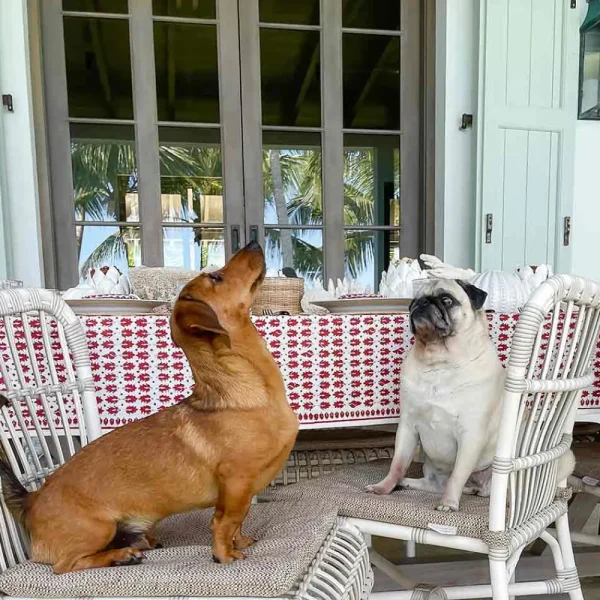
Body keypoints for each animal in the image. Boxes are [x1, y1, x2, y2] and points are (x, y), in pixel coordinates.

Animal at [0, 243, 298, 572]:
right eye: (216, 277)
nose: (254, 243)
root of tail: (33, 499)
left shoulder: (242, 492)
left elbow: (240, 521)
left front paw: (240, 541)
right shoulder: (235, 484)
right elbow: (225, 522)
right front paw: (224, 554)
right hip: (98, 528)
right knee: (67, 565)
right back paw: (120, 555)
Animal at [368, 278, 504, 510]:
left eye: (447, 300)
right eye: (412, 303)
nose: (422, 303)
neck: (439, 361)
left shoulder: (470, 434)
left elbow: (457, 475)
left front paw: (449, 503)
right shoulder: (407, 427)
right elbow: (397, 464)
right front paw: (385, 486)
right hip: (431, 471)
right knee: (432, 484)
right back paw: (405, 482)